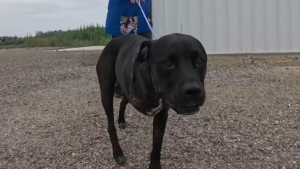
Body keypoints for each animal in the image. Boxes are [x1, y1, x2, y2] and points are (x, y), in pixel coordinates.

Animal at [97, 33, 207, 169]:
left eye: (200, 61)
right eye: (167, 63)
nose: (193, 91)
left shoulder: (161, 115)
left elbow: (157, 145)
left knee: (123, 102)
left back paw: (121, 120)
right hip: (106, 91)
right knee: (110, 125)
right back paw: (118, 153)